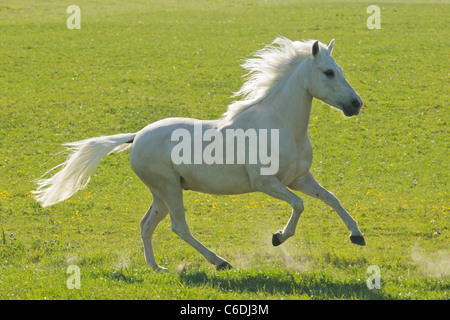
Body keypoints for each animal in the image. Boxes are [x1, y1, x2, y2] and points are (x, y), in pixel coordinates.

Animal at [35, 38, 366, 272]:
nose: (356, 104)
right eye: (328, 72)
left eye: (340, 70)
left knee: (146, 224)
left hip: (162, 192)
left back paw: (156, 267)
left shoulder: (299, 178)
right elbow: (299, 205)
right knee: (178, 227)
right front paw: (277, 238)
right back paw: (220, 262)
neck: (279, 125)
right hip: (168, 187)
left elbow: (331, 198)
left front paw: (357, 236)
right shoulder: (266, 183)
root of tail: (136, 136)